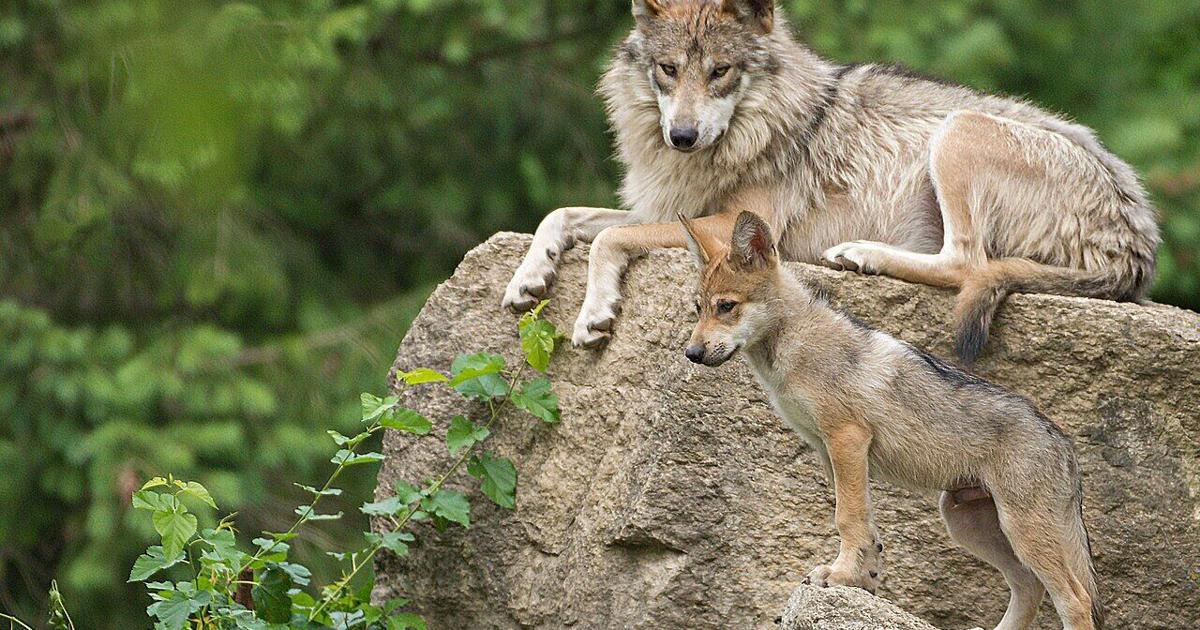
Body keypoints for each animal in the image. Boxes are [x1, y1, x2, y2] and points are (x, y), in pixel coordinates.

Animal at [502, 0, 1158, 364]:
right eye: (668, 70)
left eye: (720, 72)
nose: (682, 135)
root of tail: (1136, 247)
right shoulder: (664, 210)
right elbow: (561, 215)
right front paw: (527, 277)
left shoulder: (731, 224)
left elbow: (608, 241)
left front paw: (593, 312)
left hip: (957, 132)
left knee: (965, 263)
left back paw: (861, 254)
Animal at [682, 211, 1103, 630]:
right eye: (698, 309)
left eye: (726, 306)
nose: (691, 353)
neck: (794, 344)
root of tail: (1064, 443)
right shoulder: (829, 451)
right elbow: (865, 525)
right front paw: (862, 579)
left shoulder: (847, 439)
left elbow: (847, 518)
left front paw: (841, 576)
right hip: (968, 523)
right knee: (1028, 588)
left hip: (1020, 531)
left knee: (1074, 600)